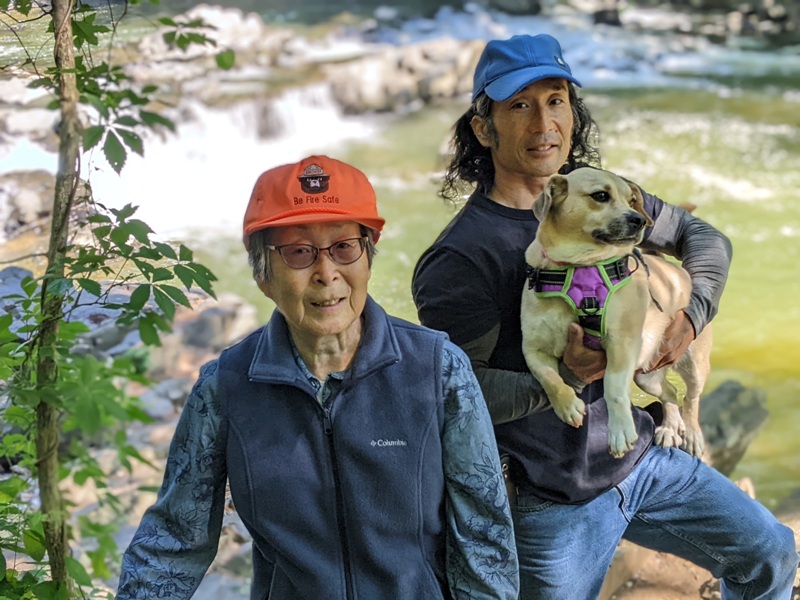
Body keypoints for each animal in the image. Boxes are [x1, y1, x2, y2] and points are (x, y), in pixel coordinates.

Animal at [520, 169, 708, 460]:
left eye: (632, 200)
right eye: (600, 196)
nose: (639, 219)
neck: (579, 267)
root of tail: (675, 271)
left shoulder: (622, 342)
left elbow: (613, 387)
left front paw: (620, 432)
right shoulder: (533, 348)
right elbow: (550, 379)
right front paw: (567, 406)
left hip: (693, 364)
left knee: (691, 398)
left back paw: (691, 433)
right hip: (646, 376)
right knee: (670, 391)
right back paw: (669, 426)